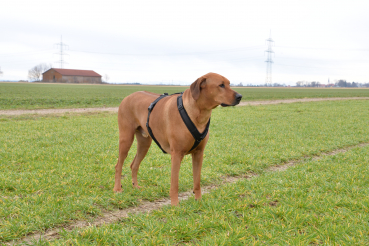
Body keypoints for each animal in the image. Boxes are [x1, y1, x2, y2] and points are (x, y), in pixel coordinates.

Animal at [113, 72, 243, 205]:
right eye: (221, 85)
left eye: (229, 84)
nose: (240, 96)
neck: (199, 113)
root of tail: (127, 97)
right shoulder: (176, 154)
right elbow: (174, 183)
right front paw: (175, 204)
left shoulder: (199, 153)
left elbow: (197, 182)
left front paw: (199, 201)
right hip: (126, 138)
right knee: (118, 165)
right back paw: (117, 189)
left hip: (144, 143)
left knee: (134, 165)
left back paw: (135, 186)